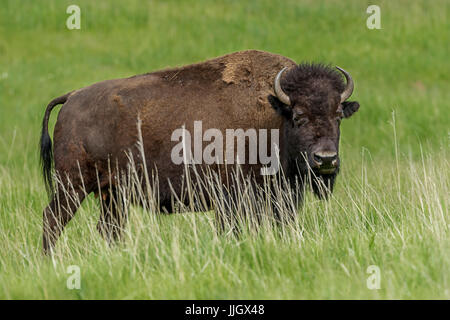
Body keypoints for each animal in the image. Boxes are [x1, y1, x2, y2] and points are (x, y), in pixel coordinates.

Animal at [40, 50, 360, 254]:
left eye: (338, 115)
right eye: (298, 116)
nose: (326, 159)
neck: (272, 114)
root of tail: (71, 98)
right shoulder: (232, 198)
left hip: (113, 194)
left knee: (109, 229)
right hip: (72, 185)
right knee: (52, 220)